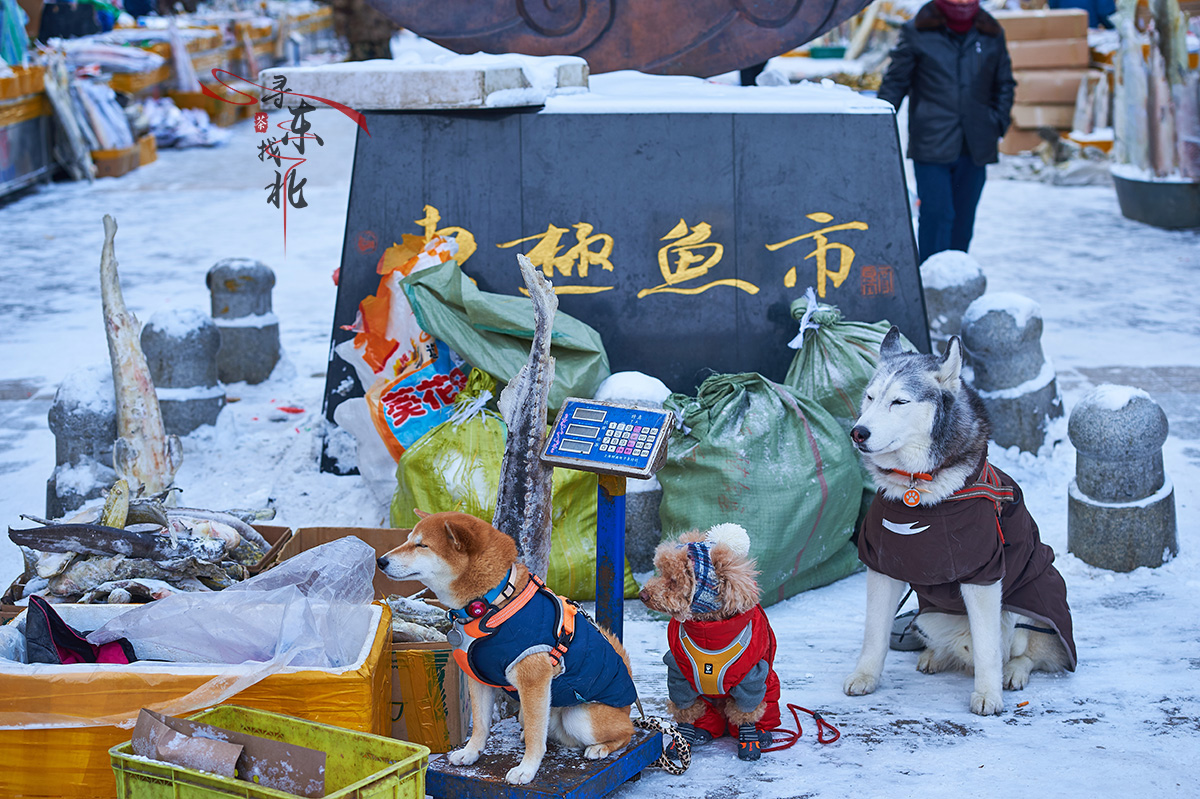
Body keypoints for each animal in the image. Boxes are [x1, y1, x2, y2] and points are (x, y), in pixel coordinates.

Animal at [379, 511, 638, 777]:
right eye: (408, 540)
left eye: (422, 545)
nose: (381, 561)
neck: (490, 604)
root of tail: (627, 705)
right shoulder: (478, 678)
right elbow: (481, 725)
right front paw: (471, 753)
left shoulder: (533, 681)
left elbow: (535, 736)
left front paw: (527, 769)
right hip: (531, 711)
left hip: (579, 718)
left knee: (627, 732)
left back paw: (600, 748)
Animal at [840, 326, 1075, 710]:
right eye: (870, 397)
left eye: (899, 402)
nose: (858, 432)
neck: (919, 492)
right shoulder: (882, 566)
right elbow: (874, 634)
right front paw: (865, 676)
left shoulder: (983, 573)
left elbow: (989, 648)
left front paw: (988, 693)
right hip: (929, 616)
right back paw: (935, 656)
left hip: (1027, 613)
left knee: (1027, 652)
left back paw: (1013, 672)